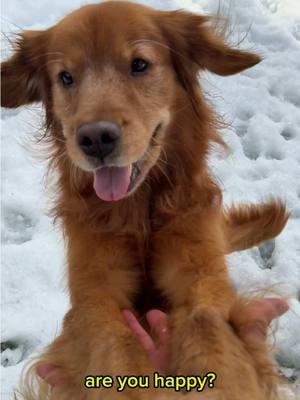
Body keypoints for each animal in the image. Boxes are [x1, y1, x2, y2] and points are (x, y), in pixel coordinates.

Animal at [1, 1, 288, 398]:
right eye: (66, 77)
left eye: (139, 64)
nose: (96, 139)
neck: (139, 214)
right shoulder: (95, 295)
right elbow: (117, 347)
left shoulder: (200, 271)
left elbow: (206, 321)